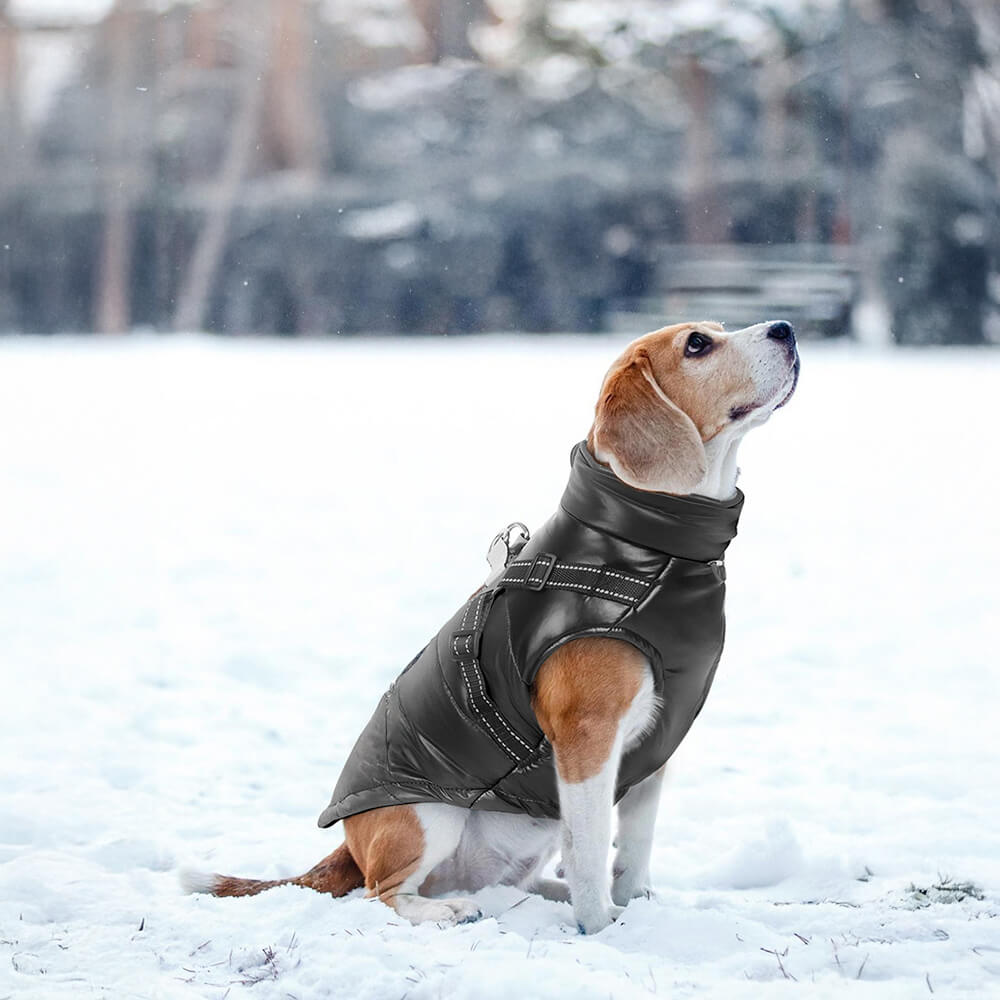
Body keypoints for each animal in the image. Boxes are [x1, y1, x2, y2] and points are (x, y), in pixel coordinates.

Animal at [186, 322, 796, 936]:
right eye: (698, 344)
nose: (785, 329)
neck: (651, 546)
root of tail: (349, 846)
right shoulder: (588, 736)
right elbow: (590, 846)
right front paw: (600, 925)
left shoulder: (654, 747)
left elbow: (635, 846)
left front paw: (637, 908)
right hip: (430, 815)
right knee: (382, 894)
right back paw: (448, 909)